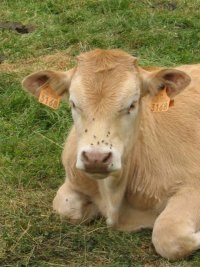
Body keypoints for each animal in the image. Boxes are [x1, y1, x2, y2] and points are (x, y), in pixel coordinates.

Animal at [22, 49, 200, 260]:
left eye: (132, 104)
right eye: (73, 103)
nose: (96, 159)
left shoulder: (192, 186)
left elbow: (168, 237)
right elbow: (64, 206)